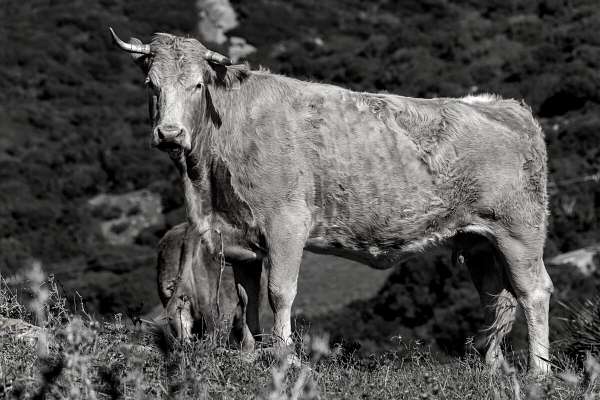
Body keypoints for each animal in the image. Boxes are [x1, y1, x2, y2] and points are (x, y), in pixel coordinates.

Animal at [111, 28, 552, 376]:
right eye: (151, 84)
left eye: (197, 86)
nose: (170, 133)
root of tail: (502, 105)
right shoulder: (239, 240)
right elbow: (245, 297)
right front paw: (250, 355)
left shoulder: (286, 225)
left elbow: (279, 292)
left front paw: (285, 358)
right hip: (479, 242)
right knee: (496, 300)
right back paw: (491, 368)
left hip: (519, 232)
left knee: (534, 293)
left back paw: (538, 372)